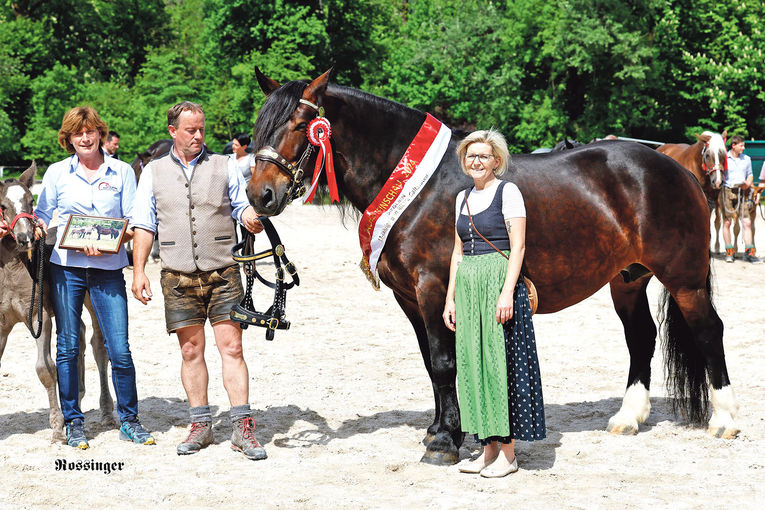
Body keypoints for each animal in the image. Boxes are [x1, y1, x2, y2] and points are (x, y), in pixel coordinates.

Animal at [0, 164, 113, 442]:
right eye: (3, 206)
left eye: (31, 202)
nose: (25, 237)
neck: (12, 270)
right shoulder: (1, 326)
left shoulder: (38, 317)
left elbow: (45, 369)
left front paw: (57, 428)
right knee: (78, 336)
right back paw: (78, 402)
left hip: (91, 299)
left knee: (98, 346)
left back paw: (106, 412)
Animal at [246, 69, 740, 464]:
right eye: (259, 125)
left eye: (301, 125)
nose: (259, 196)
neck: (416, 187)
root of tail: (677, 169)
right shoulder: (410, 299)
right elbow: (431, 363)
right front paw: (442, 428)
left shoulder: (432, 287)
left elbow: (444, 362)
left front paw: (444, 441)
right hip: (628, 279)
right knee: (641, 336)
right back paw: (628, 417)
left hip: (685, 280)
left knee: (708, 331)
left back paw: (726, 420)